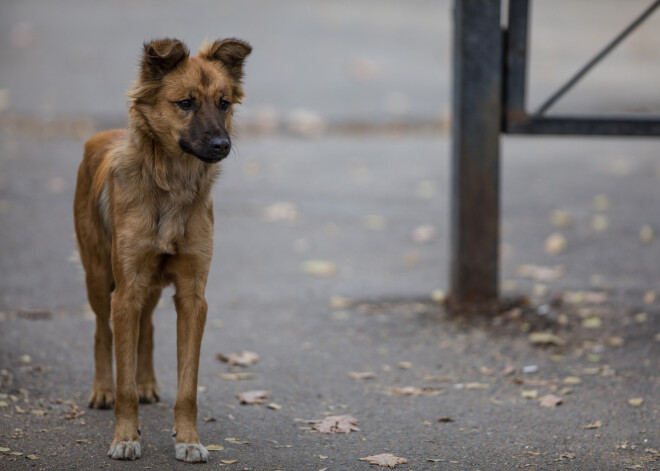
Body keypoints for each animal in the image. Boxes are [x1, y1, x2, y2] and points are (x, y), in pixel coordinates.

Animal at [73, 37, 251, 464]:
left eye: (223, 103)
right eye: (185, 103)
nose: (222, 144)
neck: (171, 184)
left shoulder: (192, 295)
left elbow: (187, 386)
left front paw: (188, 439)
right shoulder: (126, 290)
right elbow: (123, 381)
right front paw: (125, 436)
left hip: (149, 285)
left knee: (148, 327)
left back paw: (148, 382)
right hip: (99, 277)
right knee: (102, 333)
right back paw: (102, 389)